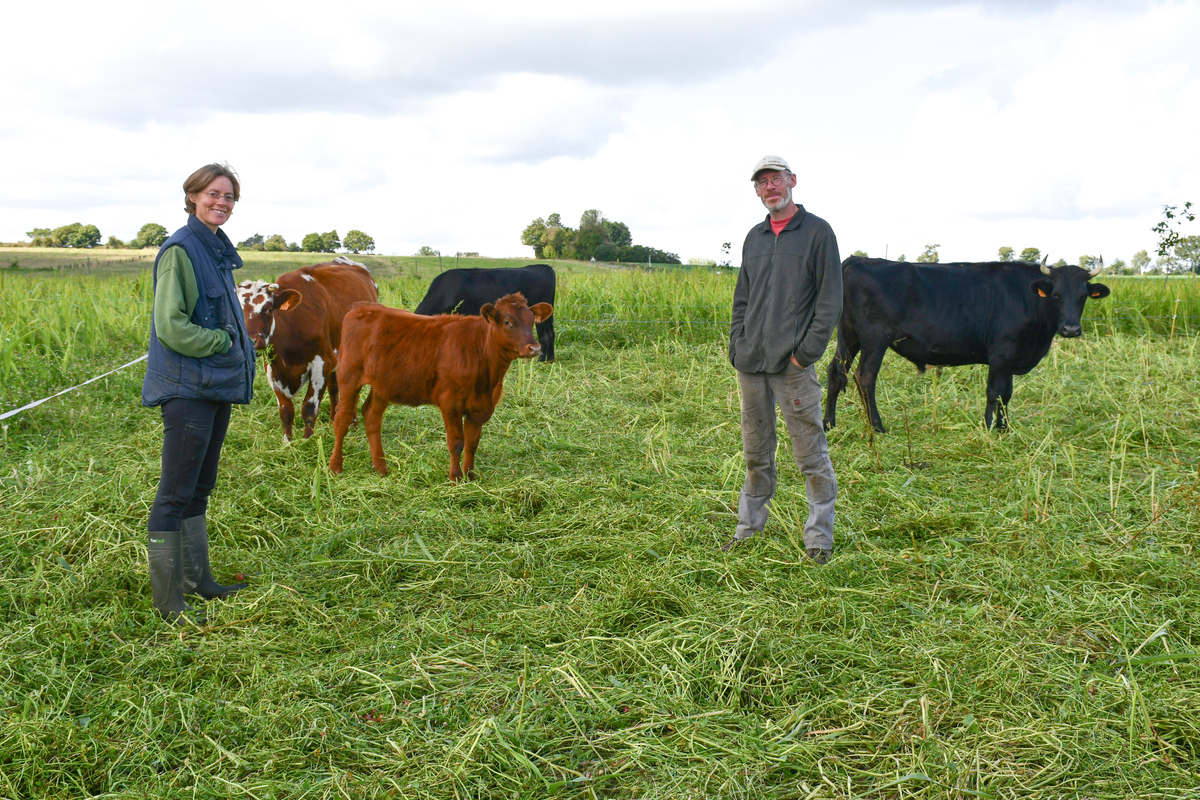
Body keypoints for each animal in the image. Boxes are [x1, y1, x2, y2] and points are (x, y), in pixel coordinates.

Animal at [236, 257, 376, 441]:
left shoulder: (322, 362)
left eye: (268, 309)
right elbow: (286, 410)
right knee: (334, 387)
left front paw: (307, 441)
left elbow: (309, 408)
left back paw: (352, 423)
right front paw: (287, 441)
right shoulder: (272, 369)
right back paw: (333, 420)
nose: (251, 341)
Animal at [328, 293, 552, 482]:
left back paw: (381, 468)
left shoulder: (481, 408)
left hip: (383, 386)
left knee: (372, 418)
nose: (535, 348)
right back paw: (335, 467)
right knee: (342, 418)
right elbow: (456, 442)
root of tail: (362, 306)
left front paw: (470, 476)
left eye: (532, 321)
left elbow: (472, 444)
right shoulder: (450, 403)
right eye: (508, 322)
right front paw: (455, 477)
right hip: (349, 377)